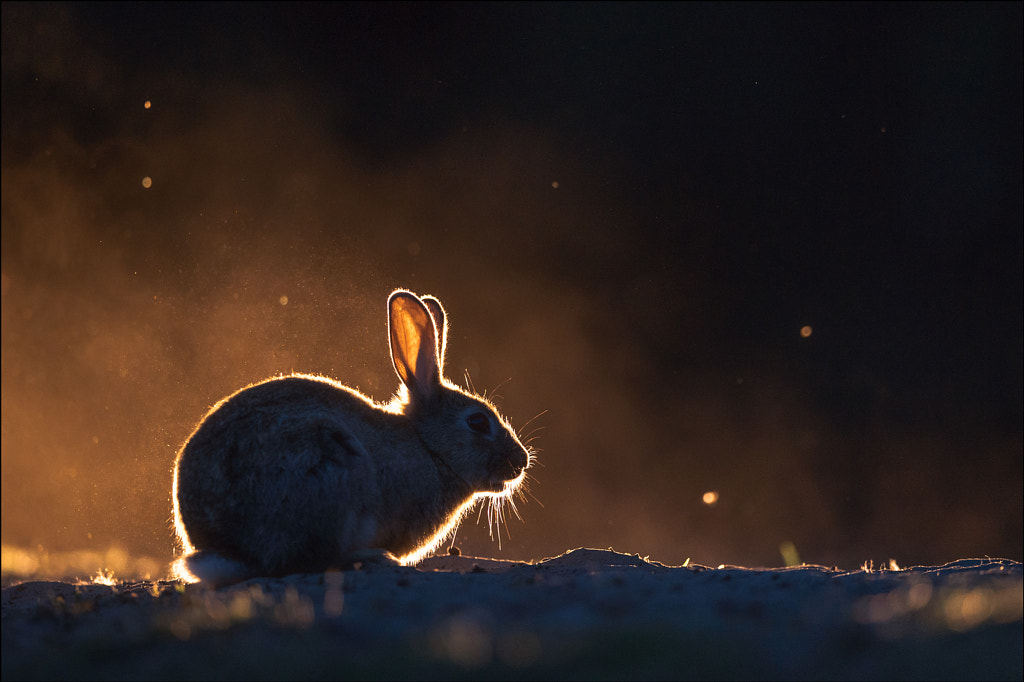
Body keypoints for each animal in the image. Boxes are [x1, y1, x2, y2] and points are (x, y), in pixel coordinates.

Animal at [171, 288, 532, 585]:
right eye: (477, 422)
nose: (522, 461)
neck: (427, 447)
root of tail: (230, 549)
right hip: (325, 471)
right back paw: (372, 557)